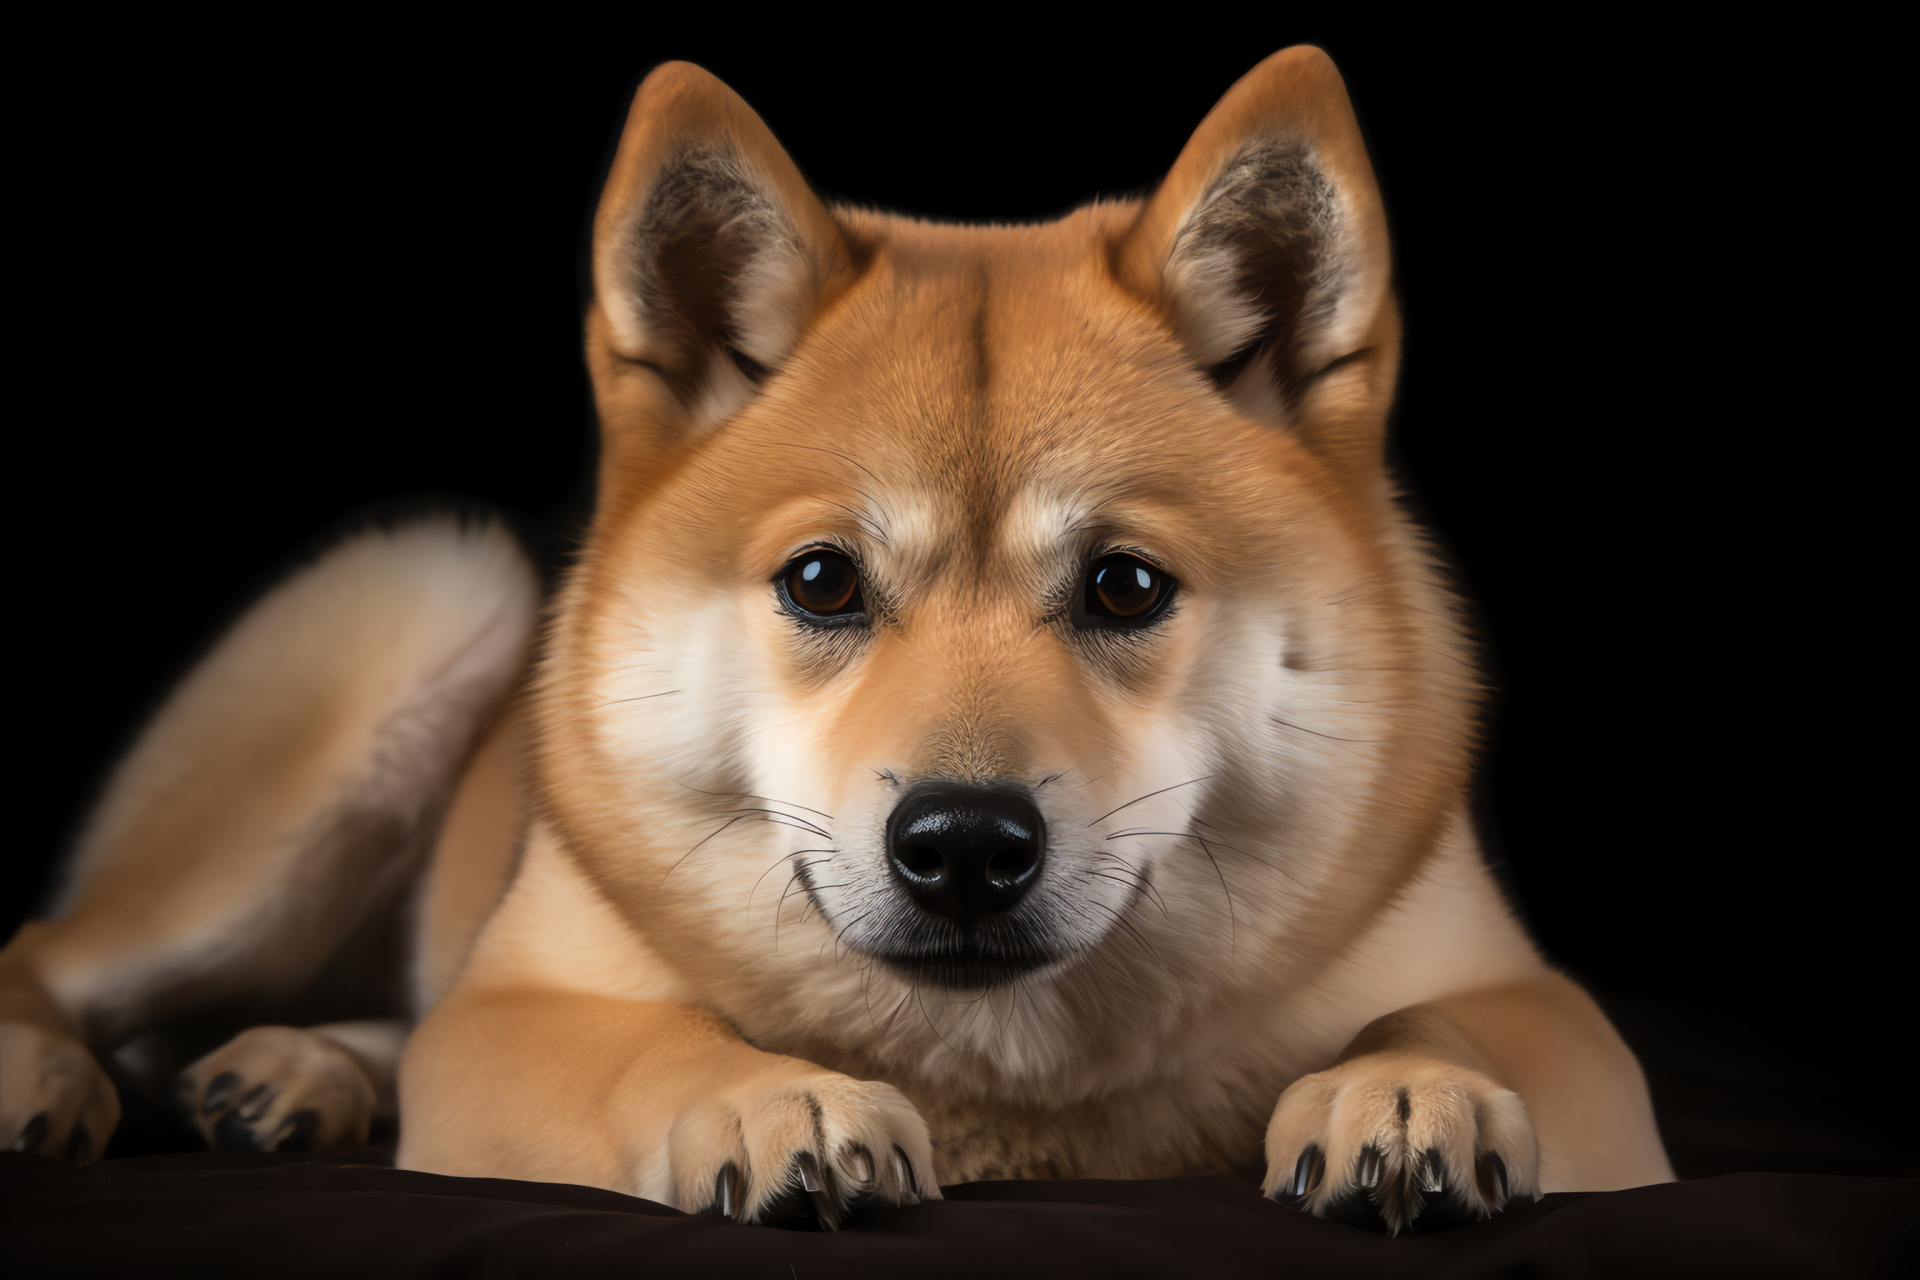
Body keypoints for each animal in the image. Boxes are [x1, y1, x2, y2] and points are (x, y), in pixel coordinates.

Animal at [0, 47, 1674, 1228]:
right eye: (820, 583)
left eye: (1127, 587)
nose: (965, 847)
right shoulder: (513, 1016)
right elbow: (646, 1042)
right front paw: (771, 1102)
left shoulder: (1555, 1016)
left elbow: (1464, 1015)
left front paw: (1412, 1085)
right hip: (416, 623)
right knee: (58, 954)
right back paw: (59, 1074)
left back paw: (295, 1070)